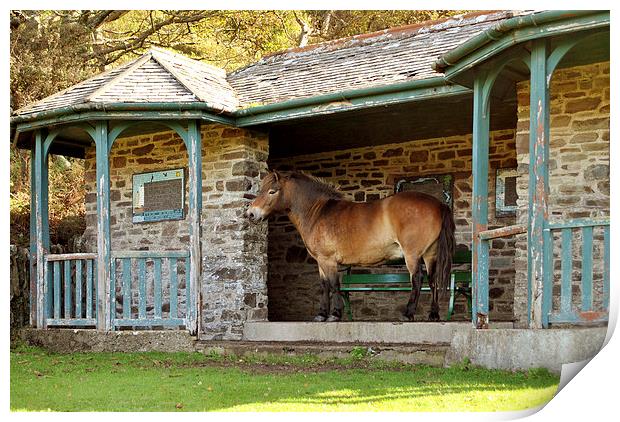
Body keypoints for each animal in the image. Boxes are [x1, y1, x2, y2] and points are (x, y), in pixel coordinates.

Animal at [247, 170, 456, 322]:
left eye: (272, 191)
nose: (250, 214)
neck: (318, 212)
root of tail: (439, 204)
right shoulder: (321, 261)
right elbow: (324, 285)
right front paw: (321, 314)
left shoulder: (328, 260)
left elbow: (334, 285)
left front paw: (334, 314)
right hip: (430, 255)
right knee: (433, 280)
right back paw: (433, 315)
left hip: (412, 255)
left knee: (418, 279)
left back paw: (408, 313)